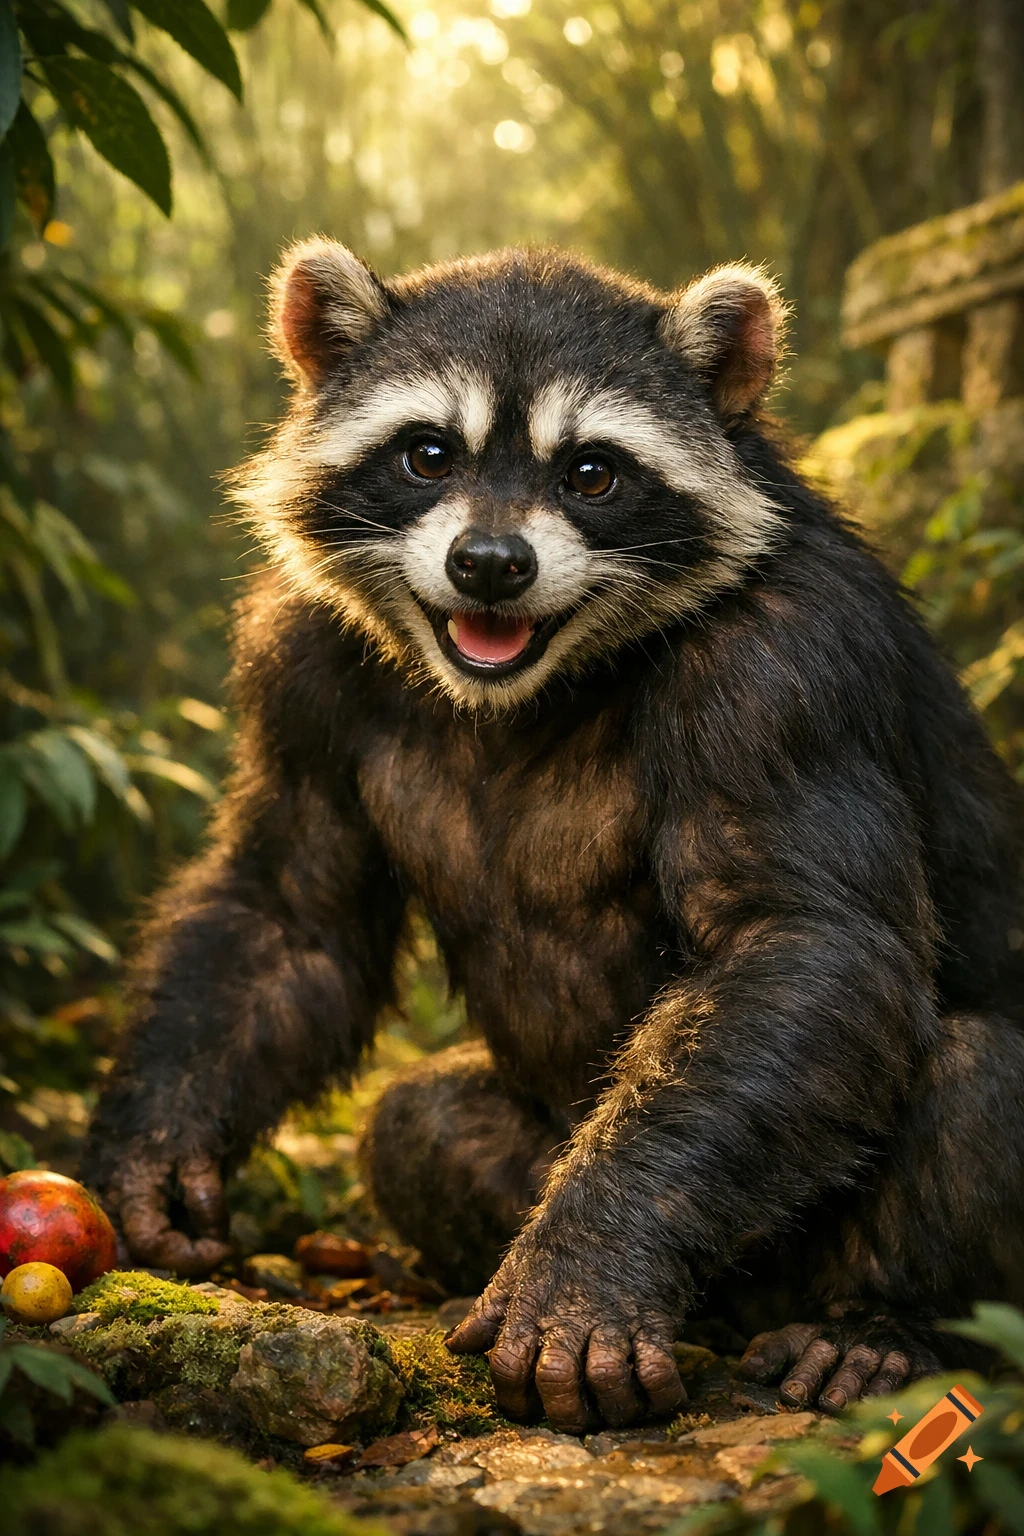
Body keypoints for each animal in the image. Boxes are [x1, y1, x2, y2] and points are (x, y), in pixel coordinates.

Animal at [82, 239, 1024, 1434]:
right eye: (427, 454)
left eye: (591, 474)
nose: (490, 563)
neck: (533, 677)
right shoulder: (298, 654)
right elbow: (288, 910)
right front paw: (158, 1136)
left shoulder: (787, 662)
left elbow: (801, 942)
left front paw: (593, 1257)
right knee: (419, 1122)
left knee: (980, 1075)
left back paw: (883, 1324)